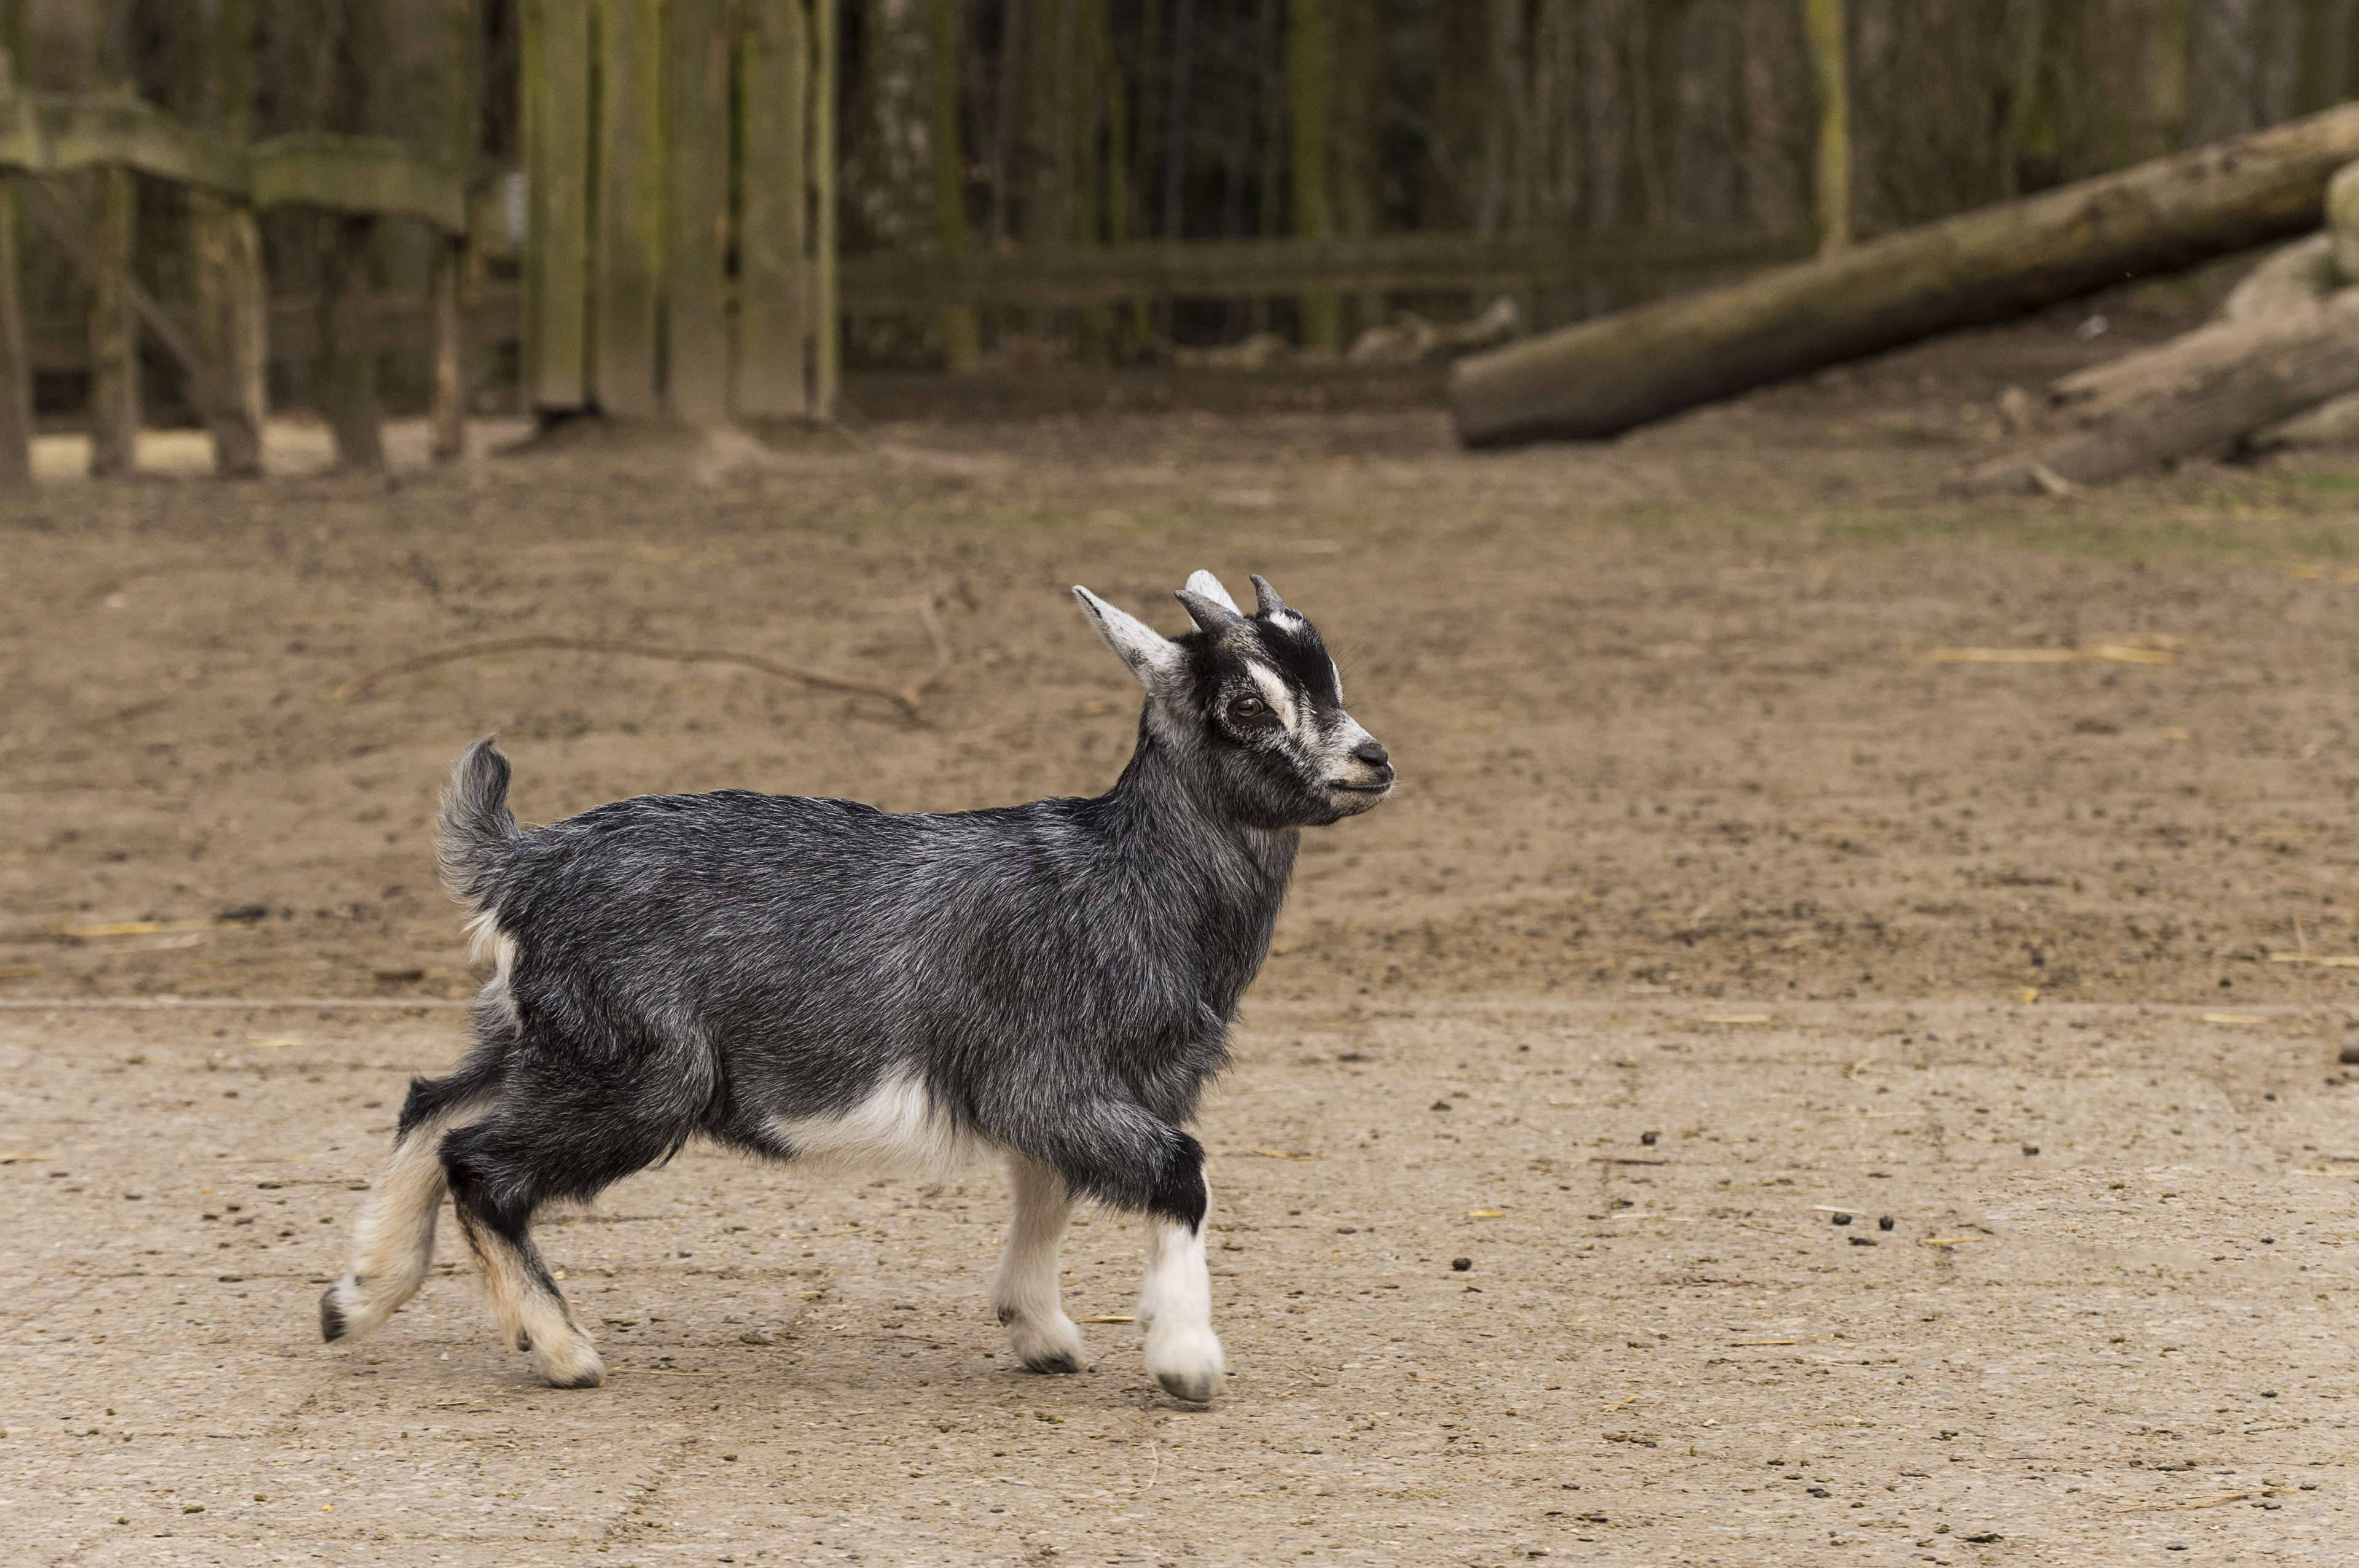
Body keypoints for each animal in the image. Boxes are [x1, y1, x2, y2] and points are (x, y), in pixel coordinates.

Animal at [318, 570, 1393, 1402]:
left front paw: (1040, 1331)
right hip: (640, 1072)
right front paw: (1186, 1360)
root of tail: (523, 862)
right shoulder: (1051, 1080)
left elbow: (1046, 1189)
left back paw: (358, 1296)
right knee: (478, 1161)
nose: (1370, 762)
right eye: (1247, 705)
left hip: (544, 1034)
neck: (1127, 879)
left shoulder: (1061, 1095)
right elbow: (1178, 1173)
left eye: (1329, 677)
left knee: (432, 1101)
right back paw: (560, 1349)